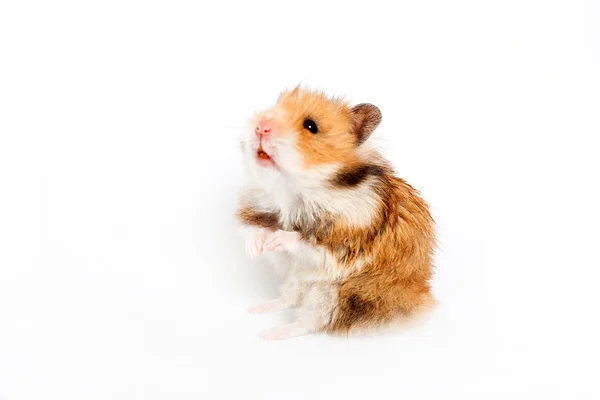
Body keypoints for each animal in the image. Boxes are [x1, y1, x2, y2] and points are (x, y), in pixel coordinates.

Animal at [237, 86, 438, 340]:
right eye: (275, 106)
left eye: (311, 126)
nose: (260, 127)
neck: (296, 187)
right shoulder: (259, 206)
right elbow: (253, 228)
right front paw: (256, 249)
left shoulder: (347, 241)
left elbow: (305, 241)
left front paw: (275, 241)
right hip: (297, 280)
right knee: (288, 299)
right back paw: (257, 309)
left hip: (330, 295)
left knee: (308, 322)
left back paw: (271, 333)